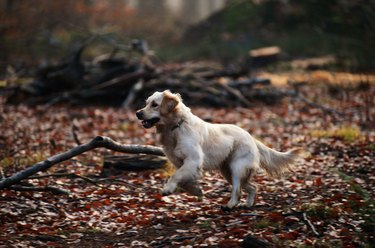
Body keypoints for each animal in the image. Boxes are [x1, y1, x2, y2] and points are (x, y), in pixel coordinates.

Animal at [137, 90, 302, 208]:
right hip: (227, 171)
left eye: (155, 104)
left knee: (238, 189)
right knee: (253, 187)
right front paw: (196, 190)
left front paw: (168, 188)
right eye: (146, 103)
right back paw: (248, 204)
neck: (176, 127)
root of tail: (251, 136)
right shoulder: (182, 163)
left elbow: (175, 176)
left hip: (237, 167)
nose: (138, 113)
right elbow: (183, 180)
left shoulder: (193, 160)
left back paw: (230, 205)